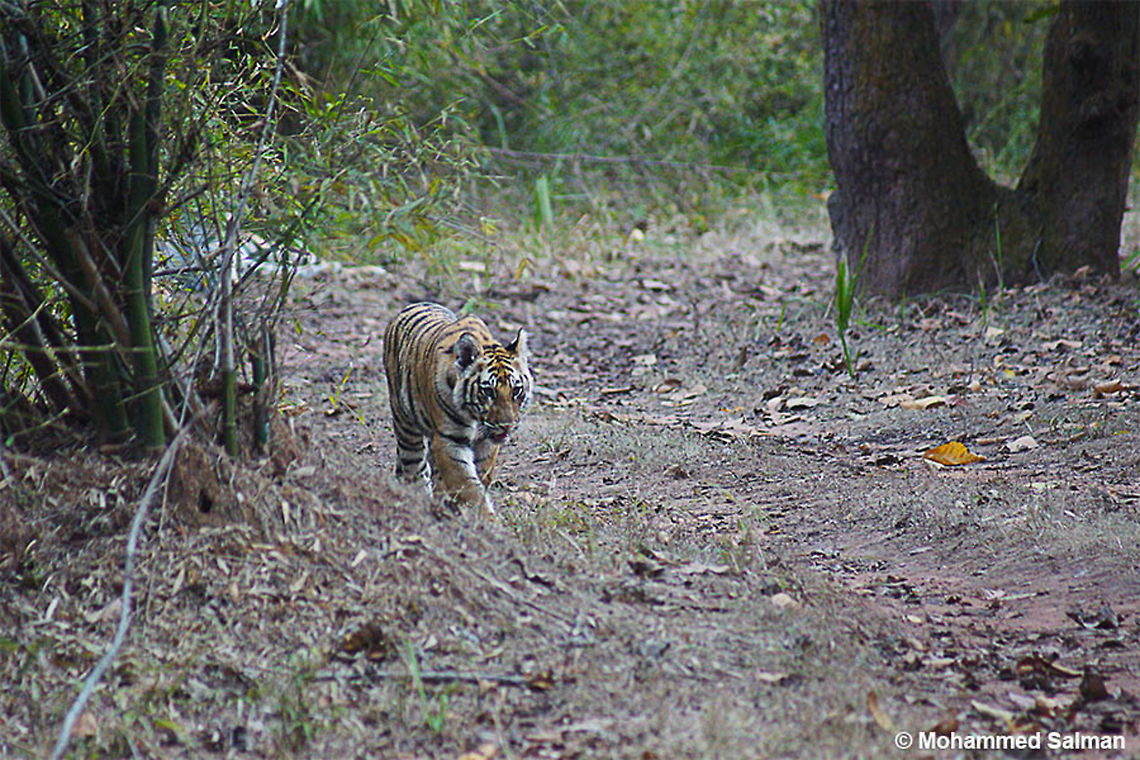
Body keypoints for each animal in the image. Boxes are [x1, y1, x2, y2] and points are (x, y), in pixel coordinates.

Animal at [383, 302, 532, 516]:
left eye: (516, 390)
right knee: (413, 467)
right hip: (406, 426)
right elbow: (467, 485)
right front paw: (484, 518)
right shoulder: (449, 440)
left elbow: (480, 477)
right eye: (488, 391)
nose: (507, 425)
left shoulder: (486, 444)